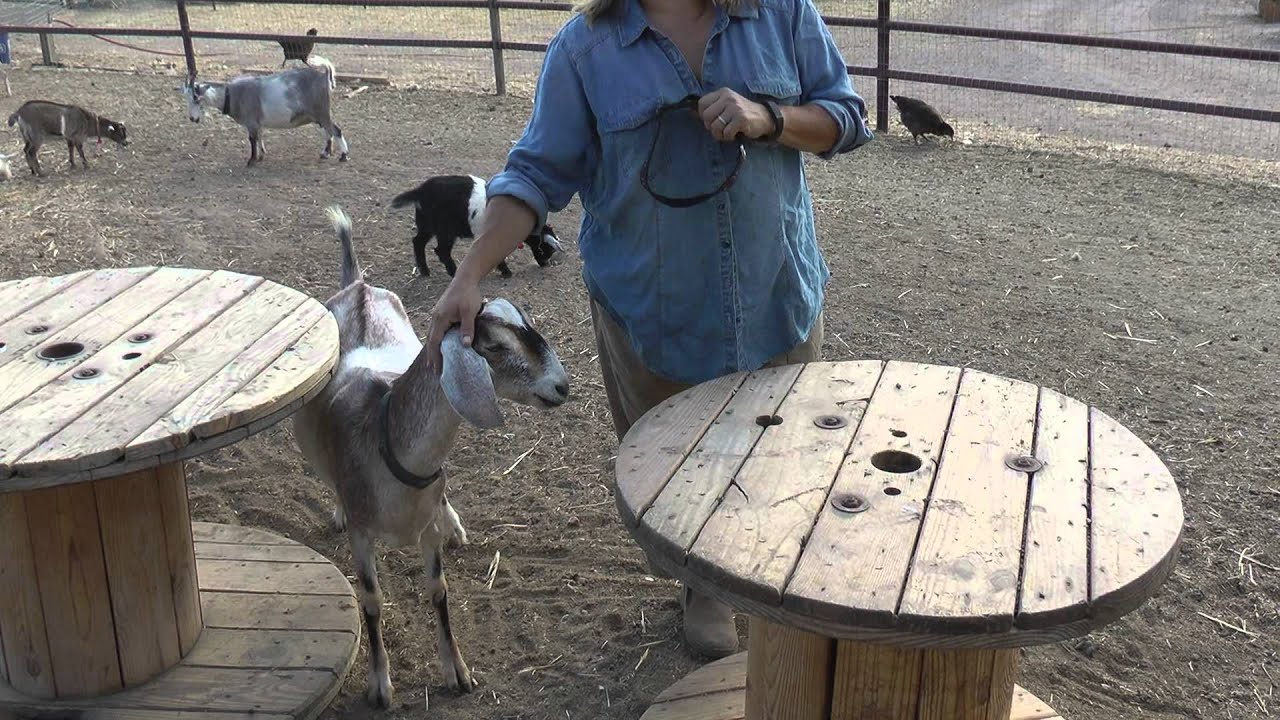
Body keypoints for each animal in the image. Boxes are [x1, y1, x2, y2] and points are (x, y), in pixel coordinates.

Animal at [182, 56, 348, 166]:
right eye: (187, 99)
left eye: (196, 99)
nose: (193, 119)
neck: (232, 95)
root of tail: (324, 75)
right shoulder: (258, 123)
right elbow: (260, 137)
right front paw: (262, 155)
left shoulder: (251, 122)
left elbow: (252, 139)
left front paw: (251, 160)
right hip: (318, 114)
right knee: (328, 131)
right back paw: (325, 153)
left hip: (322, 111)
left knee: (336, 130)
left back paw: (343, 156)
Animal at [291, 205, 570, 709]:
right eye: (494, 346)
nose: (561, 386)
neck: (388, 440)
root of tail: (358, 285)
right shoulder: (363, 536)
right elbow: (371, 600)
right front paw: (380, 685)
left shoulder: (426, 530)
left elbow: (438, 590)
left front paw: (457, 672)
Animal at [391, 174, 563, 279]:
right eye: (544, 249)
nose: (545, 264)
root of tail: (420, 191)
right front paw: (506, 272)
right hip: (445, 230)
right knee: (441, 250)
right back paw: (453, 272)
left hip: (427, 225)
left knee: (418, 242)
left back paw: (425, 271)